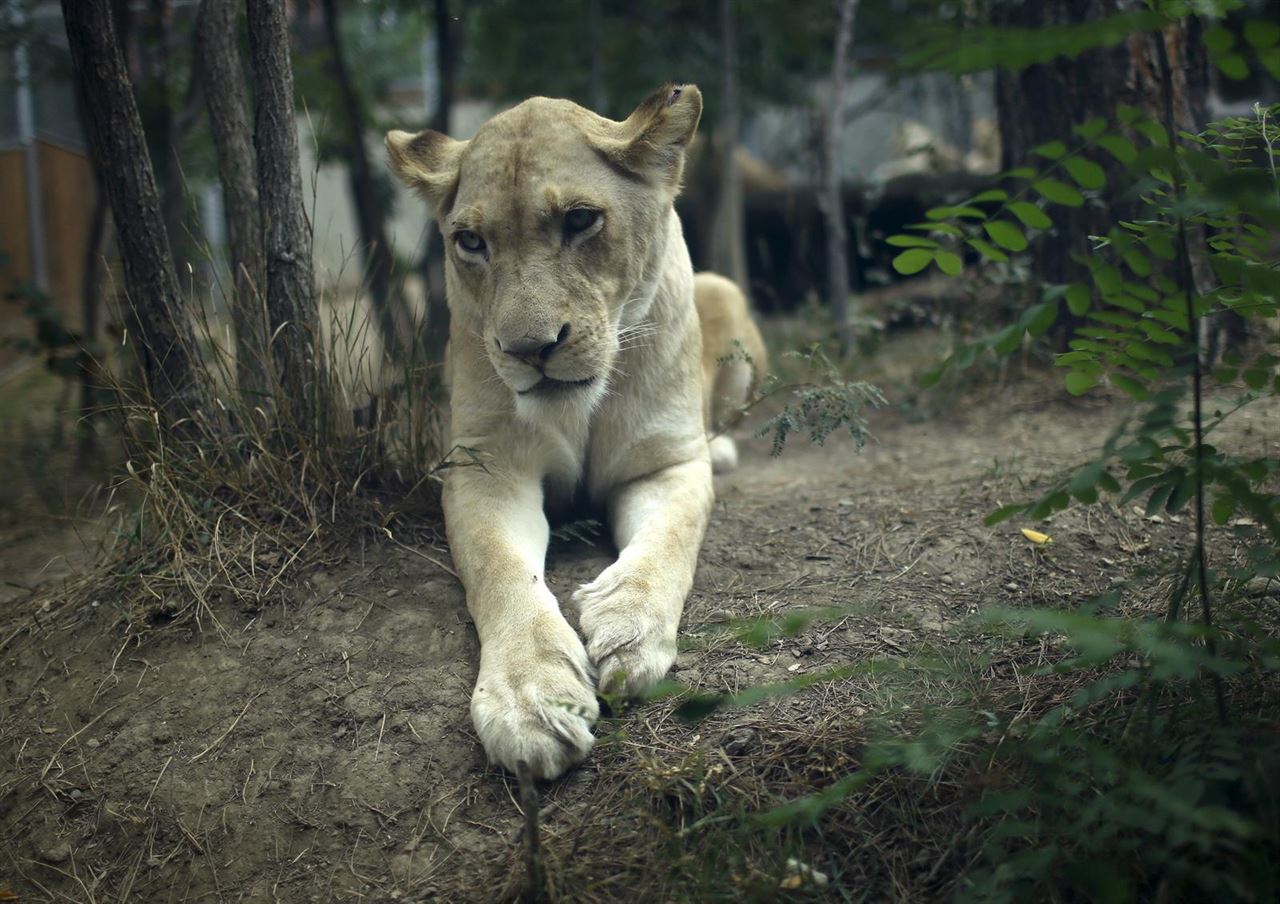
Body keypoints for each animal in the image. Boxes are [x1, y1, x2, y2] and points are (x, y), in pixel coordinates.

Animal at [386, 84, 765, 780]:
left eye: (581, 220)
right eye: (471, 241)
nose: (528, 349)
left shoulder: (665, 463)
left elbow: (672, 538)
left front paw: (629, 628)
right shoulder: (487, 471)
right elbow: (499, 569)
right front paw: (532, 700)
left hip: (722, 290)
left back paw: (723, 446)